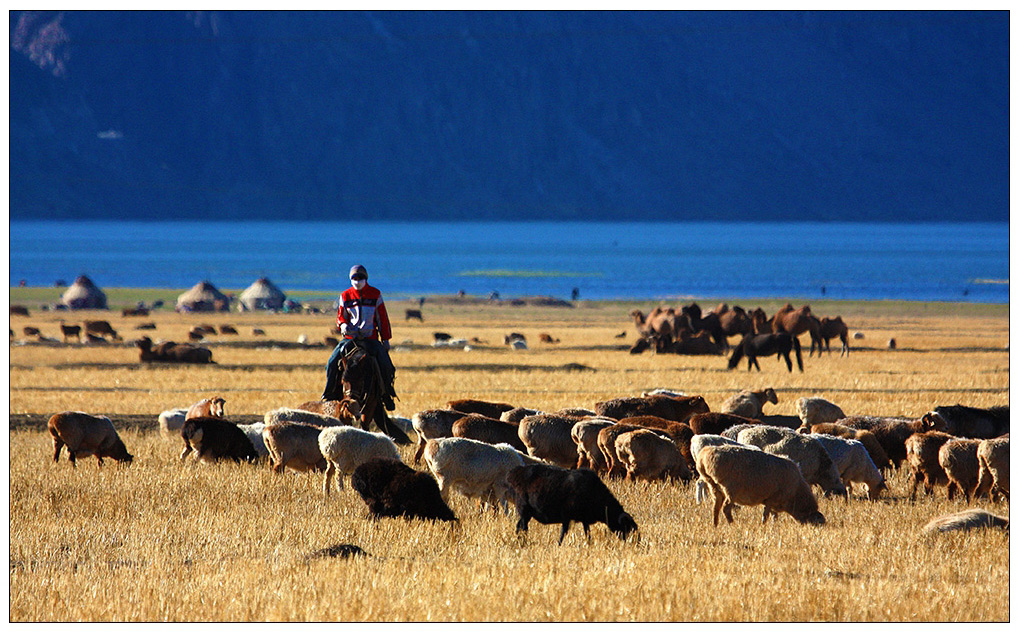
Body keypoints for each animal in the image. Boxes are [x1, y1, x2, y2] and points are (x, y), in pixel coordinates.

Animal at [506, 460, 639, 545]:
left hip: (526, 513)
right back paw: (523, 542)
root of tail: (515, 472)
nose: (636, 544)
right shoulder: (566, 517)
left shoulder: (584, 519)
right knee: (523, 527)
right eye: (627, 527)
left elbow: (587, 534)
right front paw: (559, 545)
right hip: (524, 510)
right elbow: (563, 533)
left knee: (519, 527)